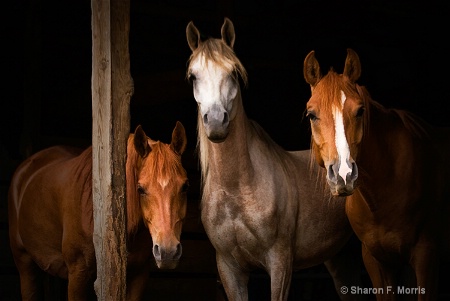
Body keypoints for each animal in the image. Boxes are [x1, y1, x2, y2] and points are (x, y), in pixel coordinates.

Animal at [8, 121, 188, 298]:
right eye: (140, 189)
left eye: (185, 186)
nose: (168, 252)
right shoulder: (78, 275)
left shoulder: (139, 275)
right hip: (24, 263)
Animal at [186, 17, 366, 298]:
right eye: (193, 76)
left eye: (234, 73)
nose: (216, 122)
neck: (236, 188)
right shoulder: (229, 267)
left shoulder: (280, 261)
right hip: (341, 258)